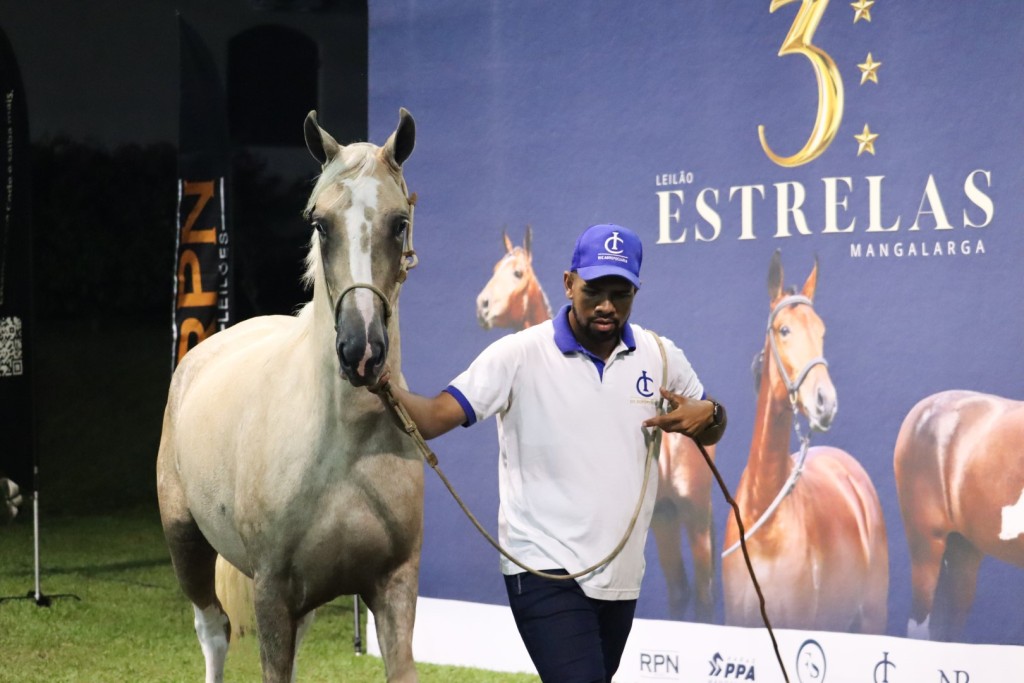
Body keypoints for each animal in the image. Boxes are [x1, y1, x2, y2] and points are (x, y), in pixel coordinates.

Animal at [157, 108, 423, 683]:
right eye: (320, 223)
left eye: (399, 223)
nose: (361, 350)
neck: (343, 448)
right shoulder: (272, 594)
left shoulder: (394, 588)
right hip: (185, 542)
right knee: (212, 630)